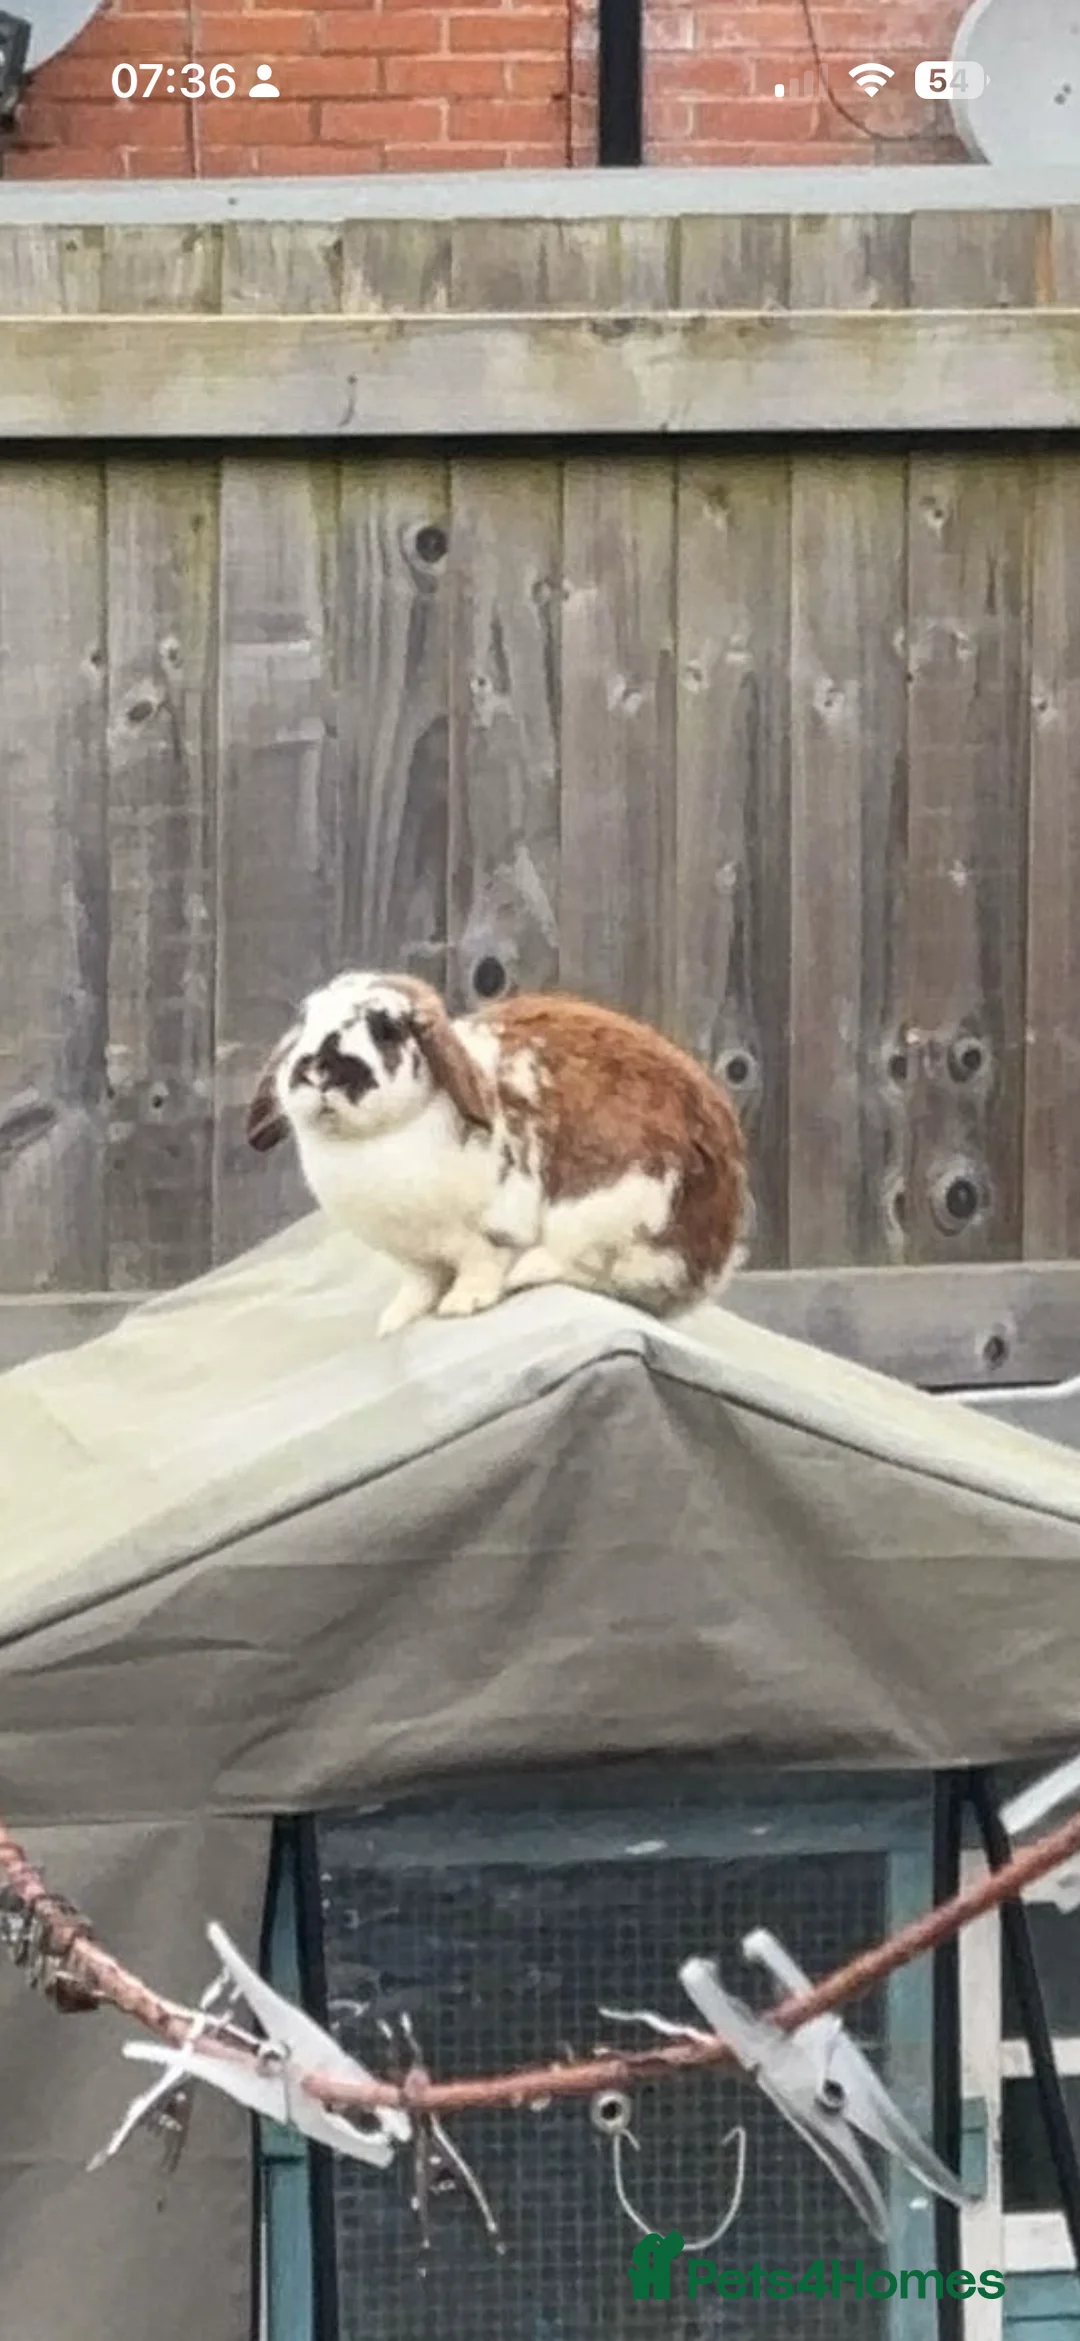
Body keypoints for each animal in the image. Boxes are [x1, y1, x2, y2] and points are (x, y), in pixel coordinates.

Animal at [246, 971, 747, 1339]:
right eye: (305, 1021)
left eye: (386, 1029)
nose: (317, 1071)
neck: (376, 1138)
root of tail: (714, 1250)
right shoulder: (414, 1260)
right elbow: (418, 1286)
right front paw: (395, 1323)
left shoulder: (490, 1230)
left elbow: (479, 1267)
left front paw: (462, 1305)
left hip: (613, 1206)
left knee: (596, 1268)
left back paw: (528, 1271)